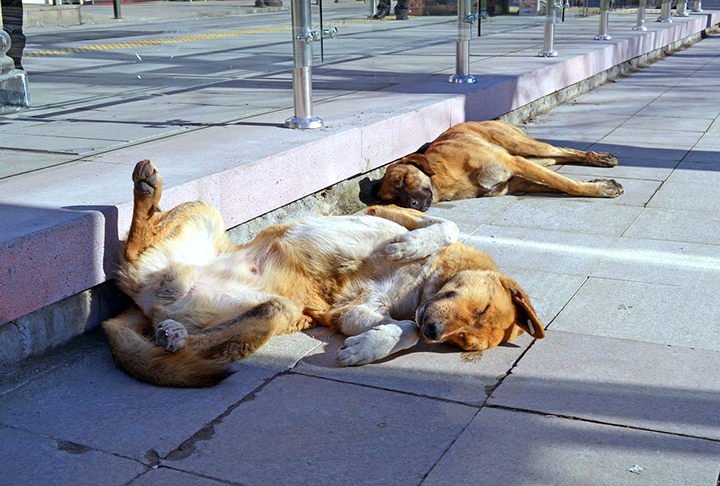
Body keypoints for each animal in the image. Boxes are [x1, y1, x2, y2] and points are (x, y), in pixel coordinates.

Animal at [102, 159, 544, 388]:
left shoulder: (347, 313)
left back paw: (173, 336)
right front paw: (408, 246)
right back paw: (146, 190)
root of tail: (141, 305)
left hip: (277, 310)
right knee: (135, 243)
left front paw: (368, 348)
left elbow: (406, 329)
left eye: (462, 343)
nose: (436, 332)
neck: (422, 287)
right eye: (481, 307)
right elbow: (445, 226)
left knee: (203, 342)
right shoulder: (385, 212)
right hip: (204, 213)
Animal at [376, 119, 624, 211]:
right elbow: (558, 184)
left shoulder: (514, 164)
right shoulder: (516, 181)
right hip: (532, 157)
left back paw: (599, 158)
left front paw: (600, 188)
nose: (411, 204)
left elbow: (566, 184)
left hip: (521, 146)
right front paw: (599, 184)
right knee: (558, 158)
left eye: (403, 180)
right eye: (393, 201)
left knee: (562, 150)